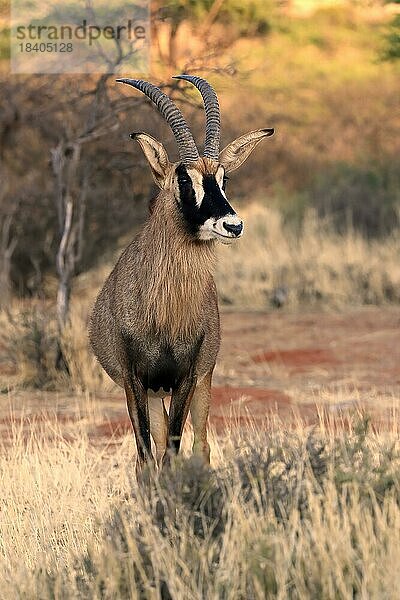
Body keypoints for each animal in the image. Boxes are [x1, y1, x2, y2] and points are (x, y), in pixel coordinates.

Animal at [89, 74, 274, 468]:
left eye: (223, 178)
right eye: (184, 179)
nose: (232, 225)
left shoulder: (187, 376)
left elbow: (175, 449)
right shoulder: (134, 380)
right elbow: (146, 455)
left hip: (201, 380)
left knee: (199, 445)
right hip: (155, 393)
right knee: (157, 448)